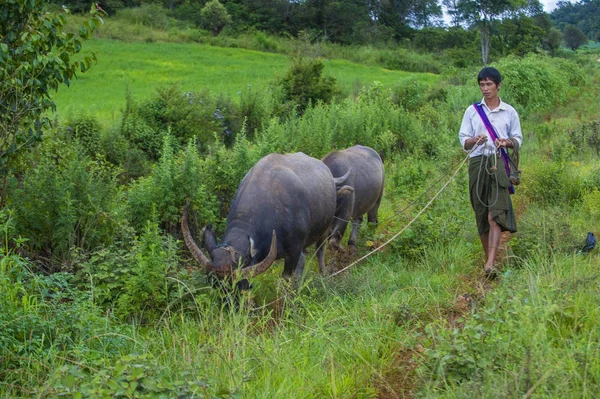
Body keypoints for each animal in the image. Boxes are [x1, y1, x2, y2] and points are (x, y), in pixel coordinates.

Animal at [180, 152, 354, 282]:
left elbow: (287, 278)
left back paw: (323, 272)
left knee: (320, 249)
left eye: (235, 285)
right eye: (212, 283)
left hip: (324, 228)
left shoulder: (293, 252)